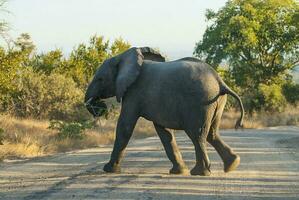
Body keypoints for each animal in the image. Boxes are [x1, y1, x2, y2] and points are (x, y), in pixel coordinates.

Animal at [85, 46, 245, 175]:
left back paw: (200, 172)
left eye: (100, 79)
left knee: (197, 135)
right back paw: (232, 165)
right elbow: (164, 133)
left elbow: (125, 127)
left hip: (201, 102)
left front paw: (108, 169)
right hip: (216, 102)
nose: (99, 106)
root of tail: (219, 80)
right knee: (212, 133)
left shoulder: (133, 93)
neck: (123, 57)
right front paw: (178, 171)